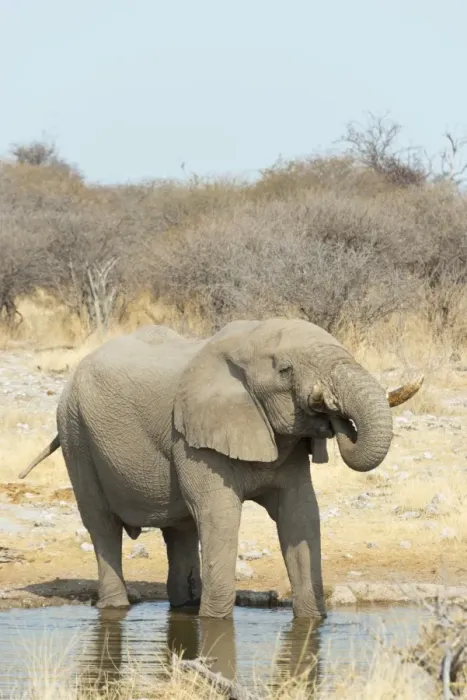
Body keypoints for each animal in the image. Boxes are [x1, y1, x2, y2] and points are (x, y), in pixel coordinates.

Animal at [19, 318, 423, 619]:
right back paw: (118, 606)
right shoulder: (192, 439)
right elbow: (220, 515)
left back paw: (185, 606)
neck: (245, 343)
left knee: (180, 530)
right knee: (102, 524)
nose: (333, 414)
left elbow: (301, 515)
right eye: (285, 370)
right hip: (76, 433)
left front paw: (311, 620)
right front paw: (215, 621)